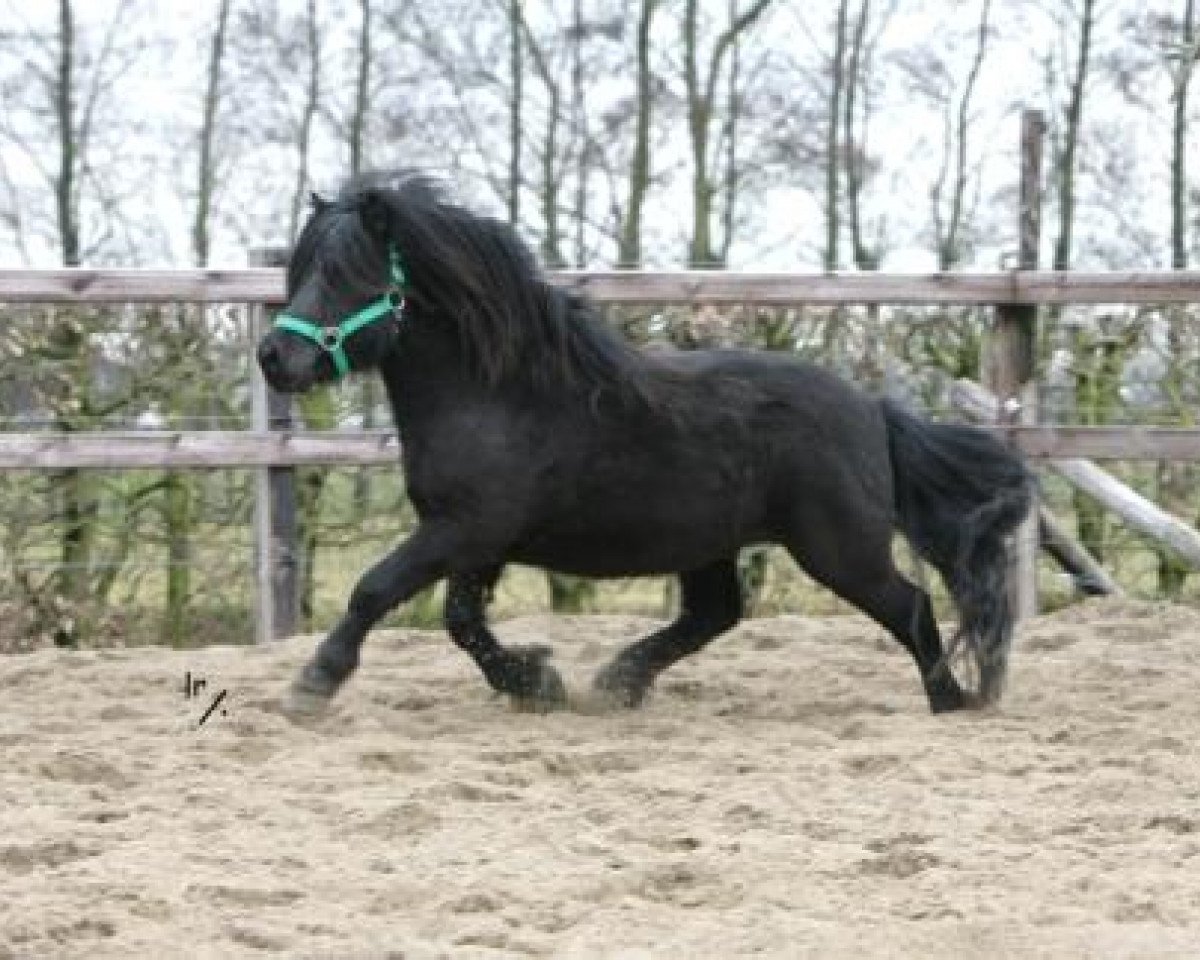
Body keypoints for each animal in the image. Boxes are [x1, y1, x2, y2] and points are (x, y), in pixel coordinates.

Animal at [256, 171, 1035, 715]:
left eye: (345, 273)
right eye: (302, 271)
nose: (273, 357)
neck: (495, 395)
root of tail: (872, 409)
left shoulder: (463, 530)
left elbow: (373, 590)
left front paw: (311, 686)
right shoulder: (475, 541)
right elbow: (460, 622)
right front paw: (536, 681)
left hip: (838, 548)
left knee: (910, 608)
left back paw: (950, 702)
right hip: (711, 543)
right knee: (714, 614)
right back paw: (617, 682)